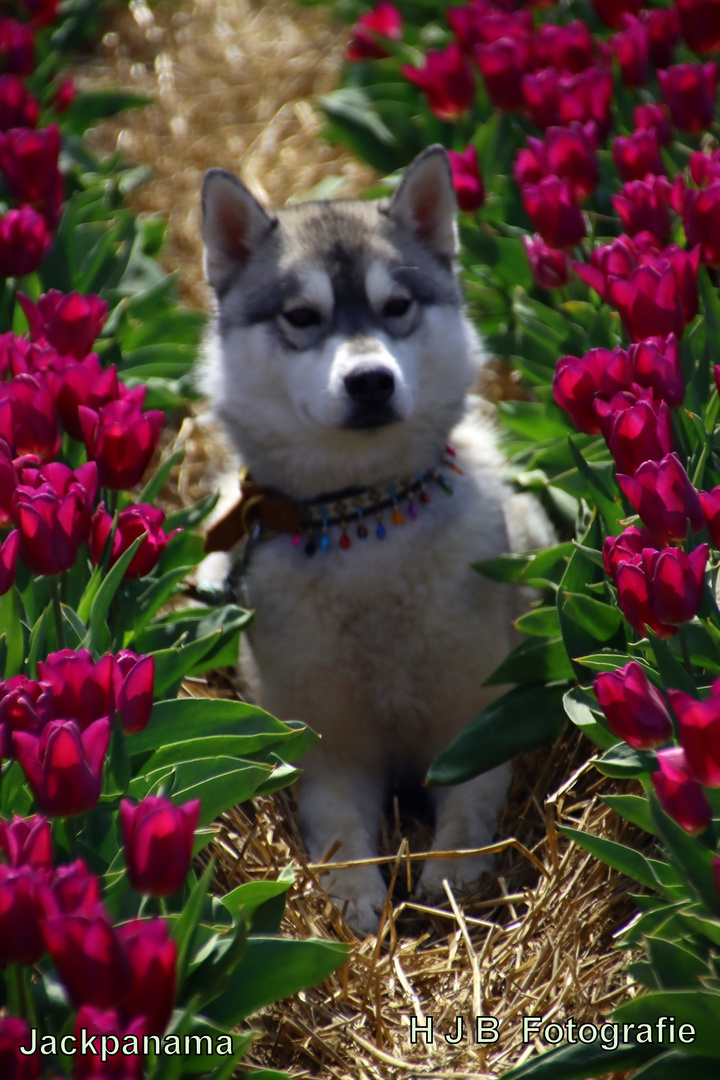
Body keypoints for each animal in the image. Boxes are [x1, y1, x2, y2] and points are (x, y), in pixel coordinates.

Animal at [199, 147, 557, 933]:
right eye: (303, 317)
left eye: (397, 307)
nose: (370, 381)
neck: (366, 526)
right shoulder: (332, 751)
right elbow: (339, 833)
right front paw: (354, 899)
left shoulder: (476, 727)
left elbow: (468, 819)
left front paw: (451, 877)